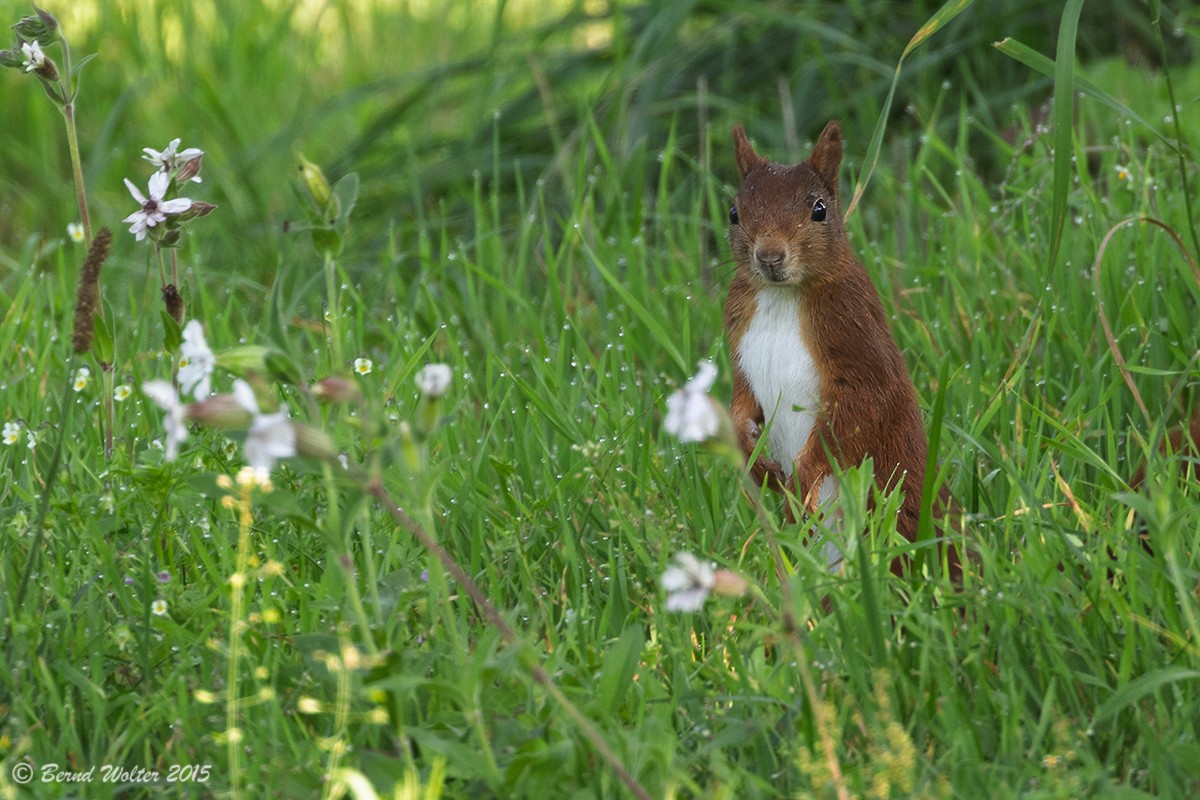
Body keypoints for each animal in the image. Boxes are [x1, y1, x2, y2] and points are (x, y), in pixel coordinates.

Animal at [723, 120, 962, 582]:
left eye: (819, 210)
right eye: (734, 213)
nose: (770, 256)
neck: (781, 297)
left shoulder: (855, 335)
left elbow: (862, 406)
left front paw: (800, 481)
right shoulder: (739, 342)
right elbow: (742, 400)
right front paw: (753, 456)